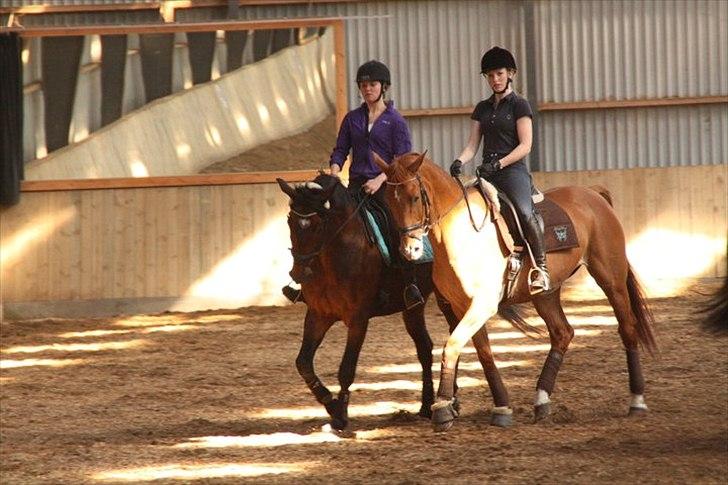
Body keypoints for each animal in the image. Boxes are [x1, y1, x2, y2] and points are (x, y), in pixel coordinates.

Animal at [276, 172, 504, 430]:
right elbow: (303, 363)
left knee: (454, 335)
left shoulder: (358, 318)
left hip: (448, 299)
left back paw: (450, 402)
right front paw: (330, 404)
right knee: (425, 348)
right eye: (290, 220)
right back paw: (427, 405)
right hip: (412, 307)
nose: (299, 273)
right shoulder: (318, 314)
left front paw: (341, 414)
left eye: (318, 224)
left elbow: (346, 368)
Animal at [372, 152, 656, 432]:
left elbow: (451, 346)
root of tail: (593, 194)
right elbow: (483, 353)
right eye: (389, 201)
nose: (410, 250)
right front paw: (501, 408)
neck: (460, 231)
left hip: (611, 280)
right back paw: (542, 401)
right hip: (546, 294)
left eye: (414, 196)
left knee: (627, 327)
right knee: (562, 333)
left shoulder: (482, 305)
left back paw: (637, 401)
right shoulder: (463, 306)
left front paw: (442, 409)